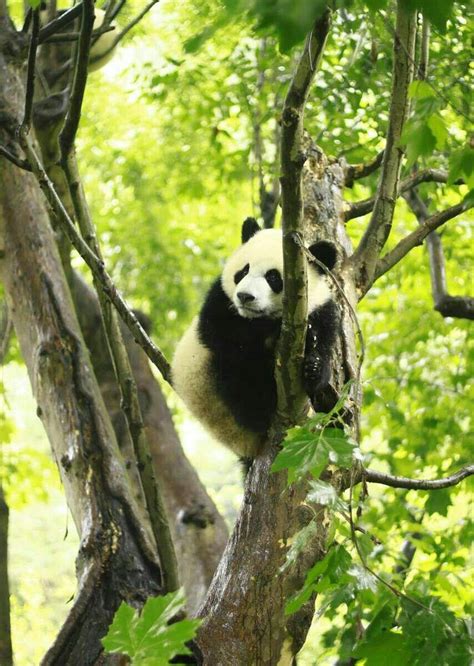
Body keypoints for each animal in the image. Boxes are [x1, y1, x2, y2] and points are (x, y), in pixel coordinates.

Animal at [171, 217, 339, 463]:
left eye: (273, 277)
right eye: (243, 271)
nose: (245, 297)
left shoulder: (322, 310)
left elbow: (324, 344)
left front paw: (314, 366)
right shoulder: (220, 301)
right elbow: (226, 337)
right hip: (210, 386)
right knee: (238, 379)